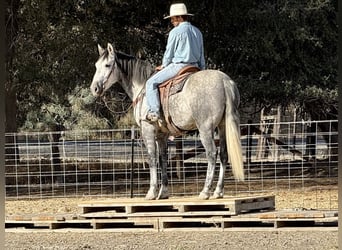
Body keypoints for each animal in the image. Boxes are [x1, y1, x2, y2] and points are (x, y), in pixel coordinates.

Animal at [91, 42, 243, 199]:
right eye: (96, 65)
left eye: (108, 65)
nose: (94, 88)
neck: (142, 87)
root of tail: (225, 82)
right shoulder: (161, 134)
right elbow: (163, 159)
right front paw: (163, 192)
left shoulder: (148, 129)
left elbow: (152, 158)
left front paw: (152, 192)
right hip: (223, 127)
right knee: (224, 155)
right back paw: (218, 191)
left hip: (205, 129)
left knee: (212, 154)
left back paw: (205, 191)